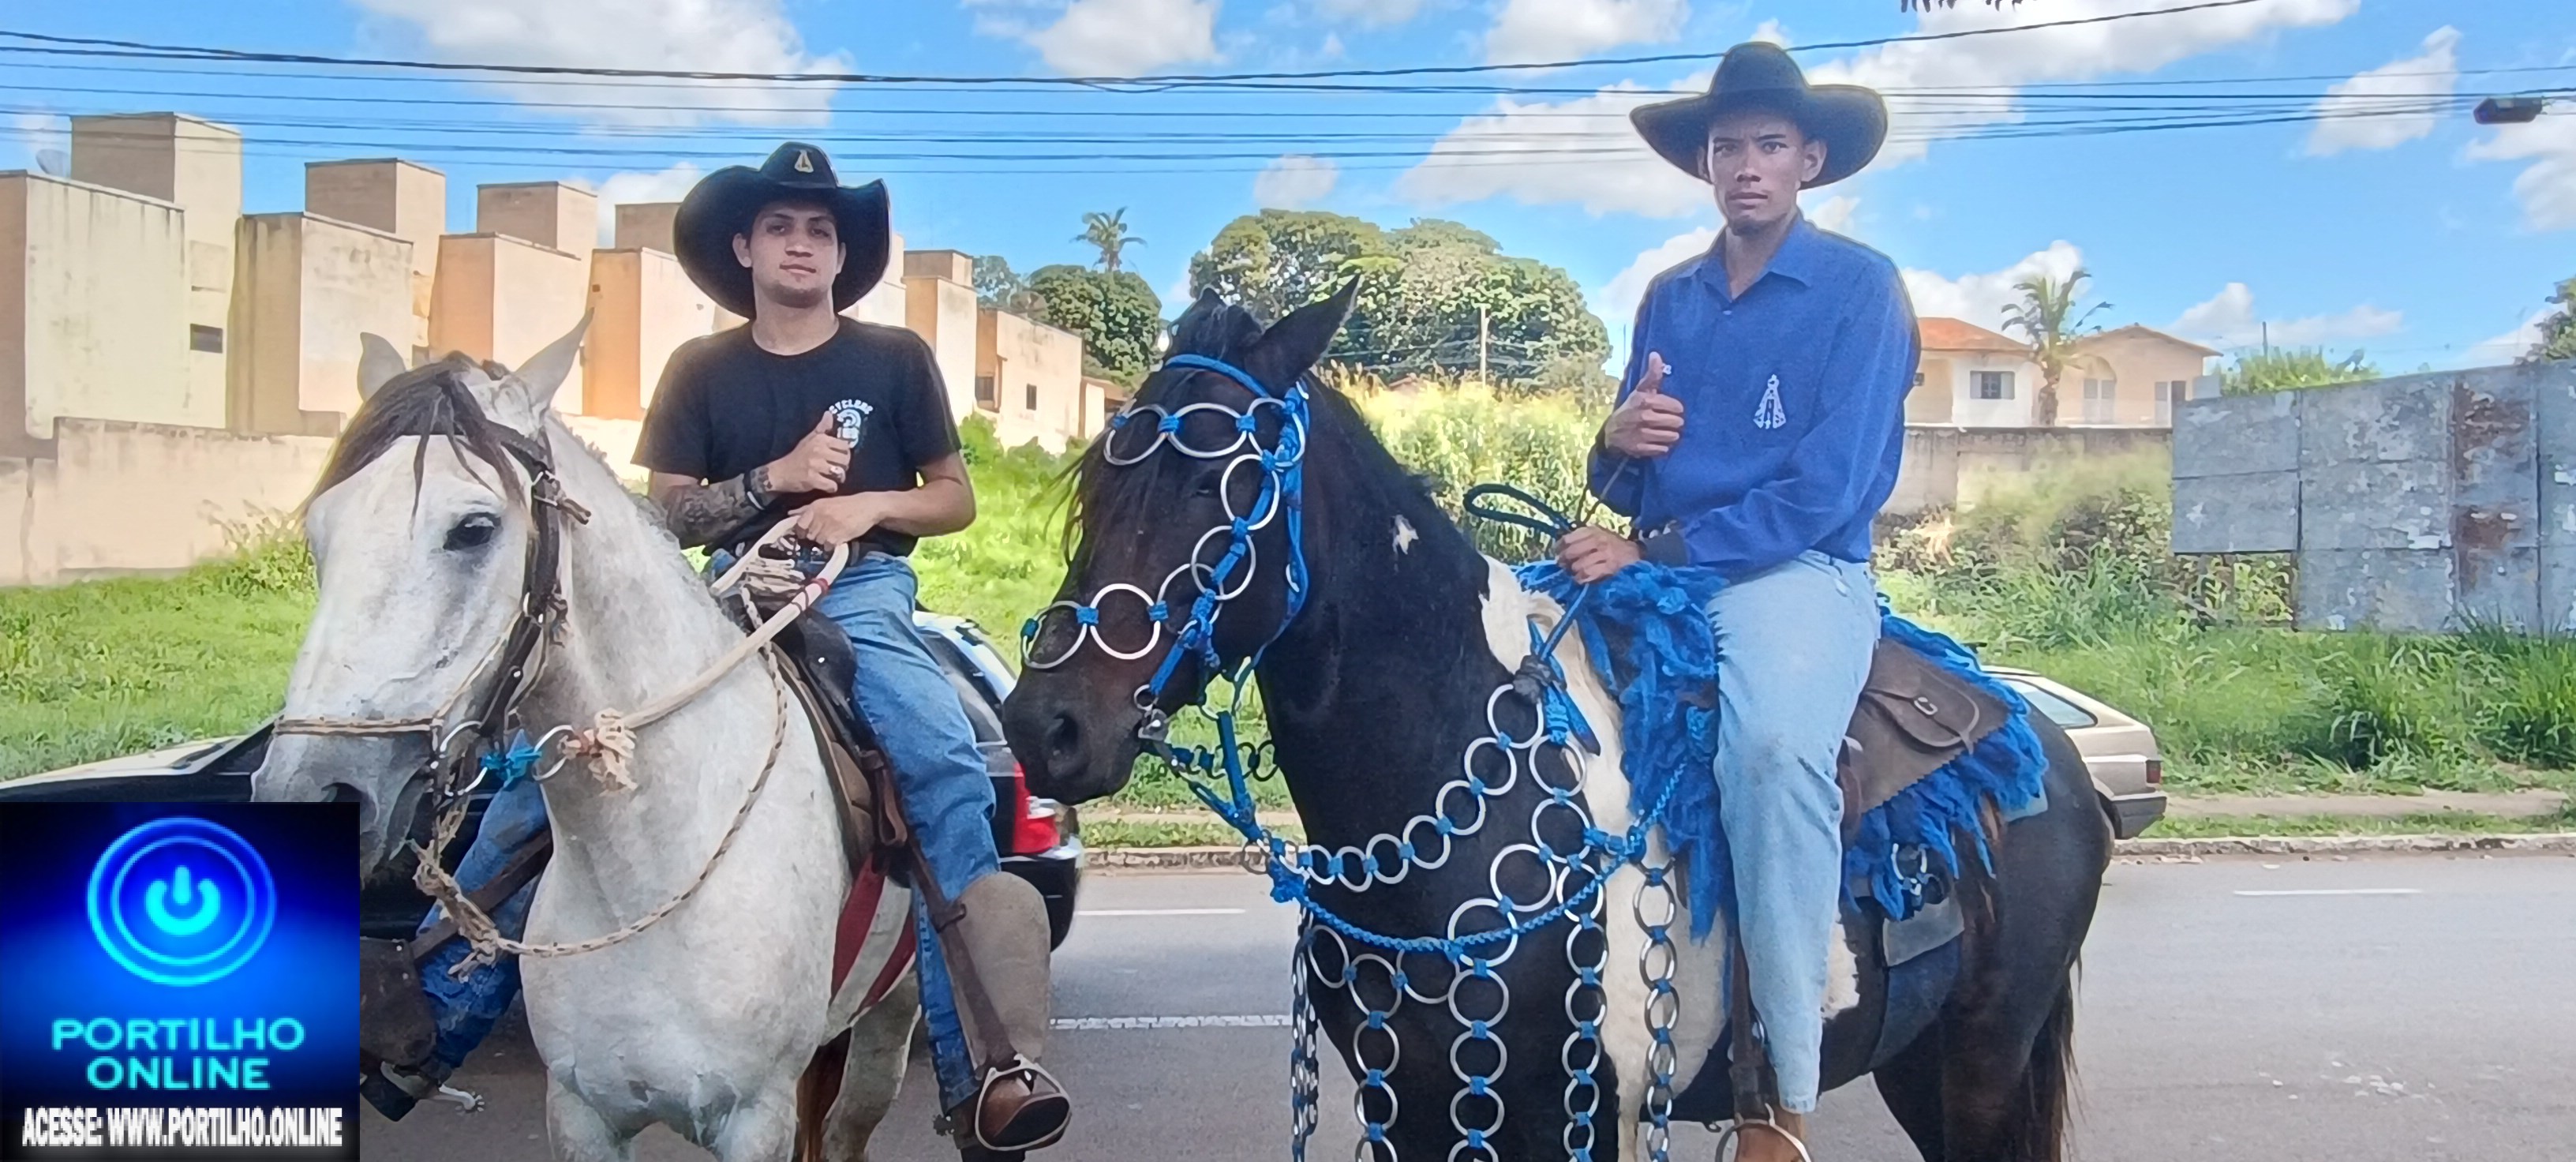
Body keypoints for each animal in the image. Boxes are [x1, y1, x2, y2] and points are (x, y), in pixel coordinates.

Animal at [251, 320, 920, 1162]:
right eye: (320, 533)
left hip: (892, 1019)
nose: (308, 793)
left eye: (473, 529)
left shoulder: (753, 1120)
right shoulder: (580, 1113)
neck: (647, 865)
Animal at [1001, 285, 2111, 1161]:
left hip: (1984, 1059)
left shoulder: (1573, 1112)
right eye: (1099, 477)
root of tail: (2047, 744)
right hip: (1918, 1062)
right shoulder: (1407, 1104)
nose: (1045, 722)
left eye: (1215, 480)